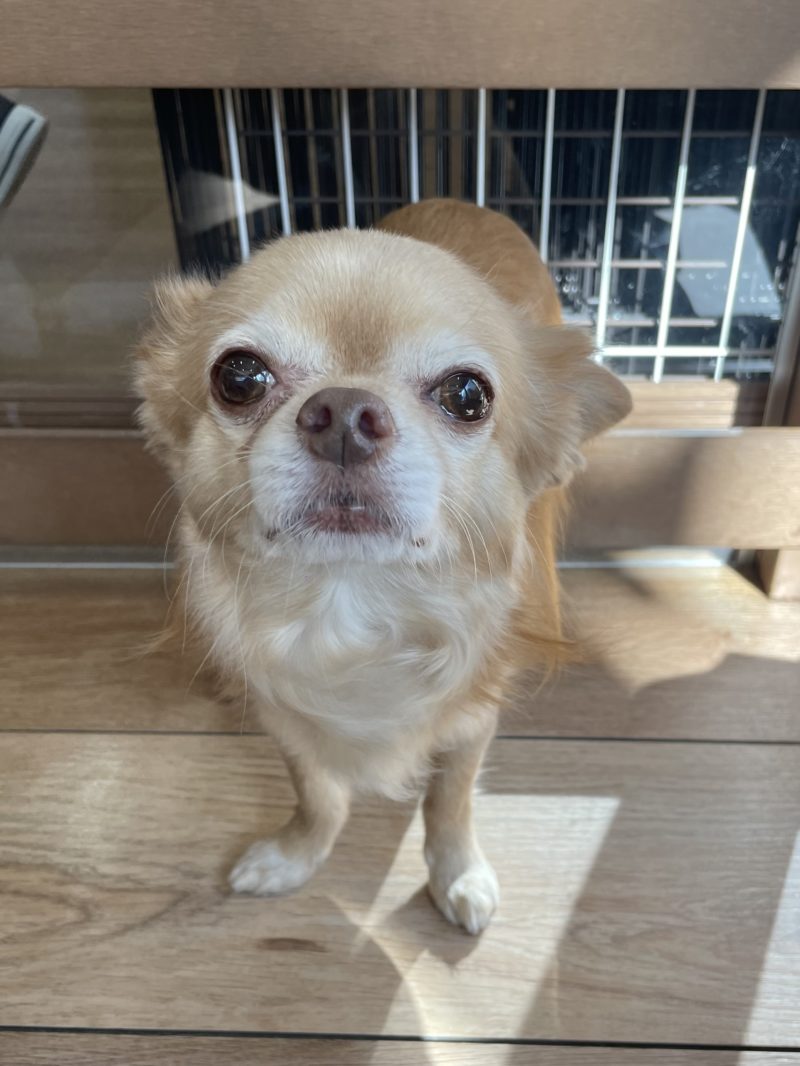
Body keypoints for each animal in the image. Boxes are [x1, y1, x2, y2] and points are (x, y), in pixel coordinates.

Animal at [135, 199, 631, 933]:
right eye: (239, 377)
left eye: (467, 394)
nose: (344, 410)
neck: (353, 600)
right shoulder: (289, 716)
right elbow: (316, 793)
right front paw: (295, 855)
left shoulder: (471, 717)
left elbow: (450, 800)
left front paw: (457, 874)